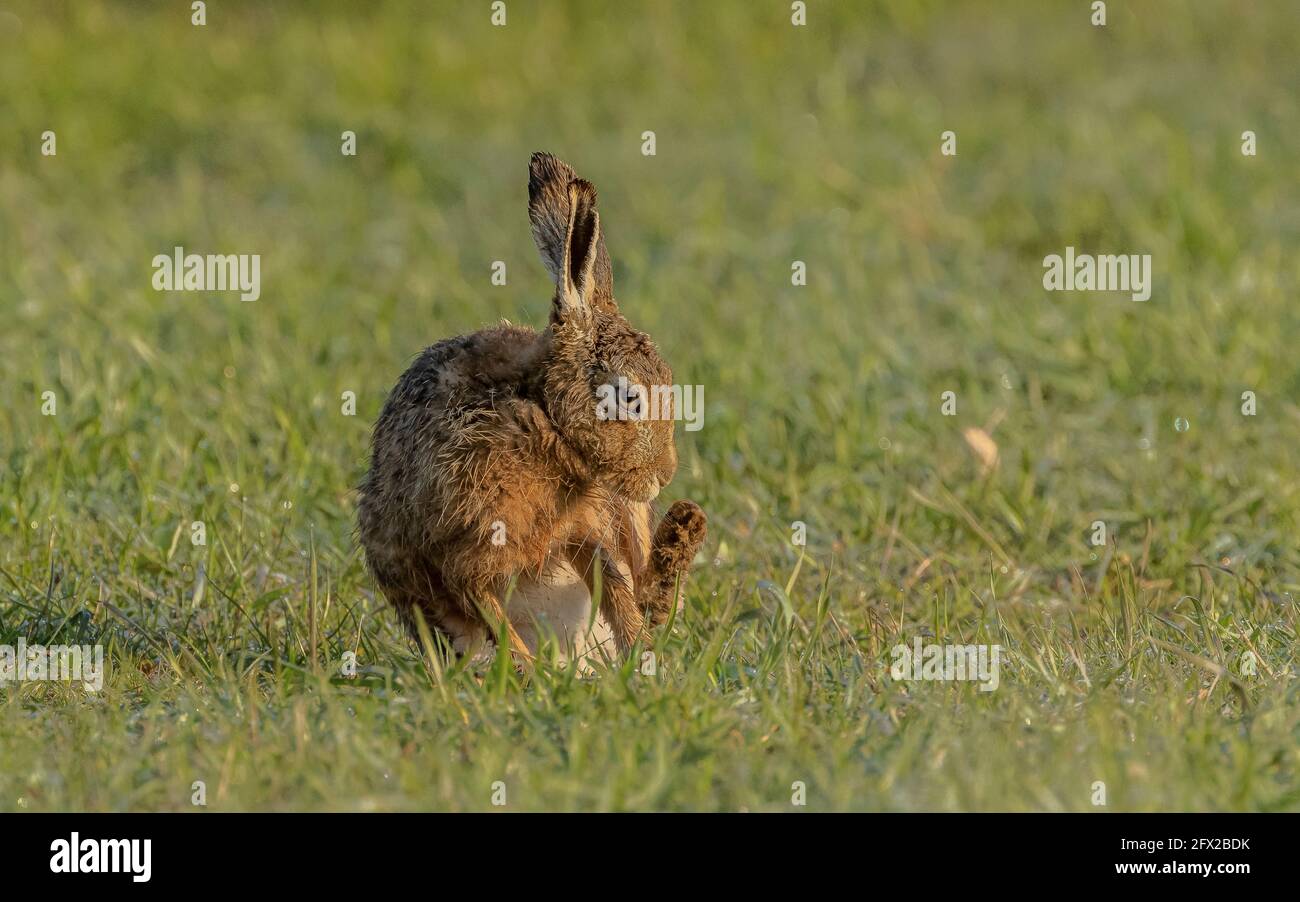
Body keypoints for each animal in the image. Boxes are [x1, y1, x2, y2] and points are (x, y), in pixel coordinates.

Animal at [357, 152, 708, 663]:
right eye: (630, 398)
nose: (664, 473)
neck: (545, 415)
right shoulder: (466, 551)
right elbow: (488, 611)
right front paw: (525, 669)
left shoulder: (581, 526)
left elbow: (611, 581)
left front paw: (638, 652)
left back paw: (682, 532)